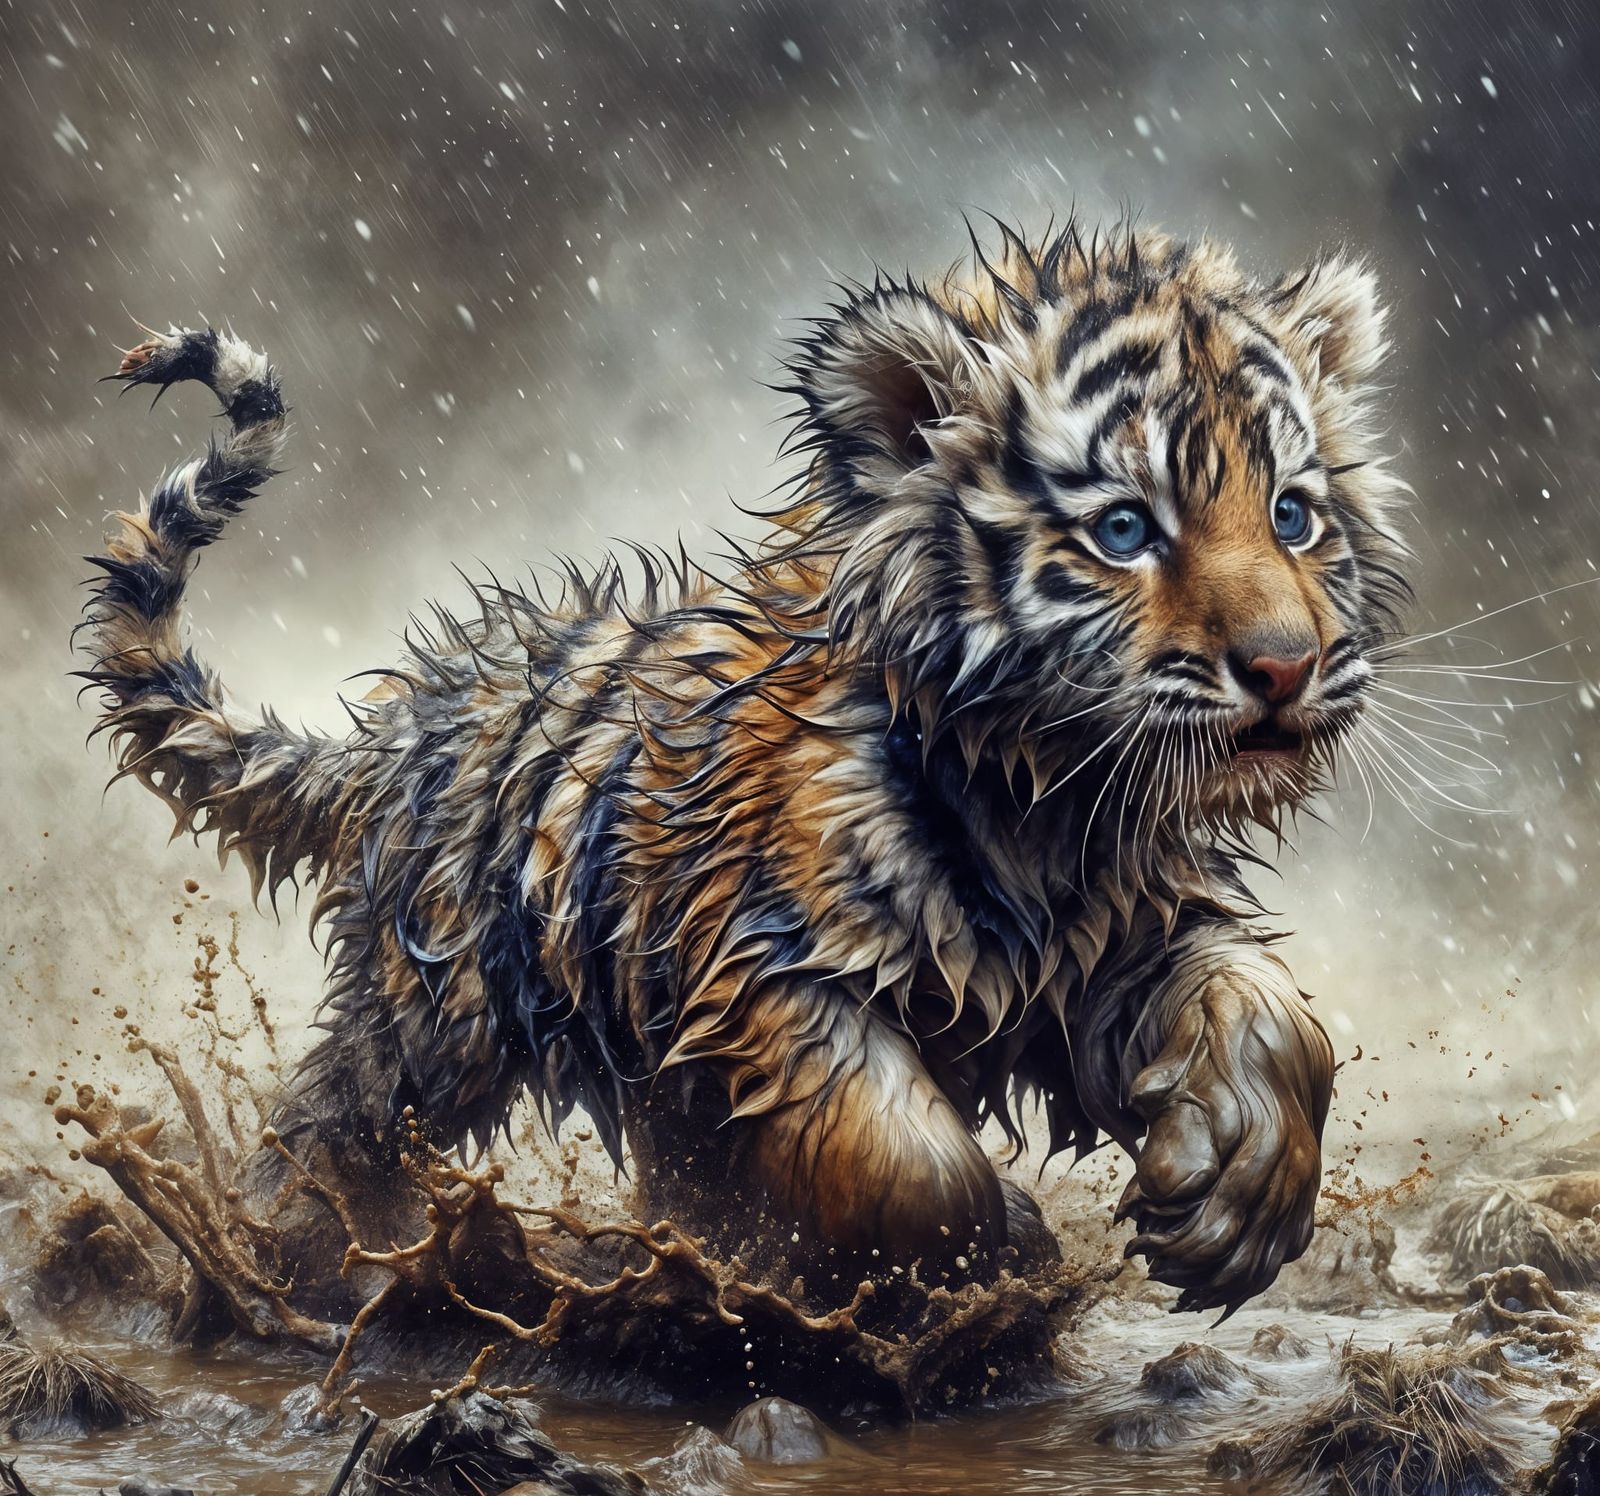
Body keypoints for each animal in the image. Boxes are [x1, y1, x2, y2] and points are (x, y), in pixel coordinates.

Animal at [77, 218, 1407, 1314]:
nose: (1284, 666)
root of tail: (406, 727)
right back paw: (274, 1258)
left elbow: (1268, 1009)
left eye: (1292, 515)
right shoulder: (760, 965)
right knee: (325, 1125)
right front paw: (1008, 1250)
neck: (1050, 794)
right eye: (1124, 528)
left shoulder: (1125, 936)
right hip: (436, 1012)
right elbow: (910, 1161)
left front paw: (1233, 1193)